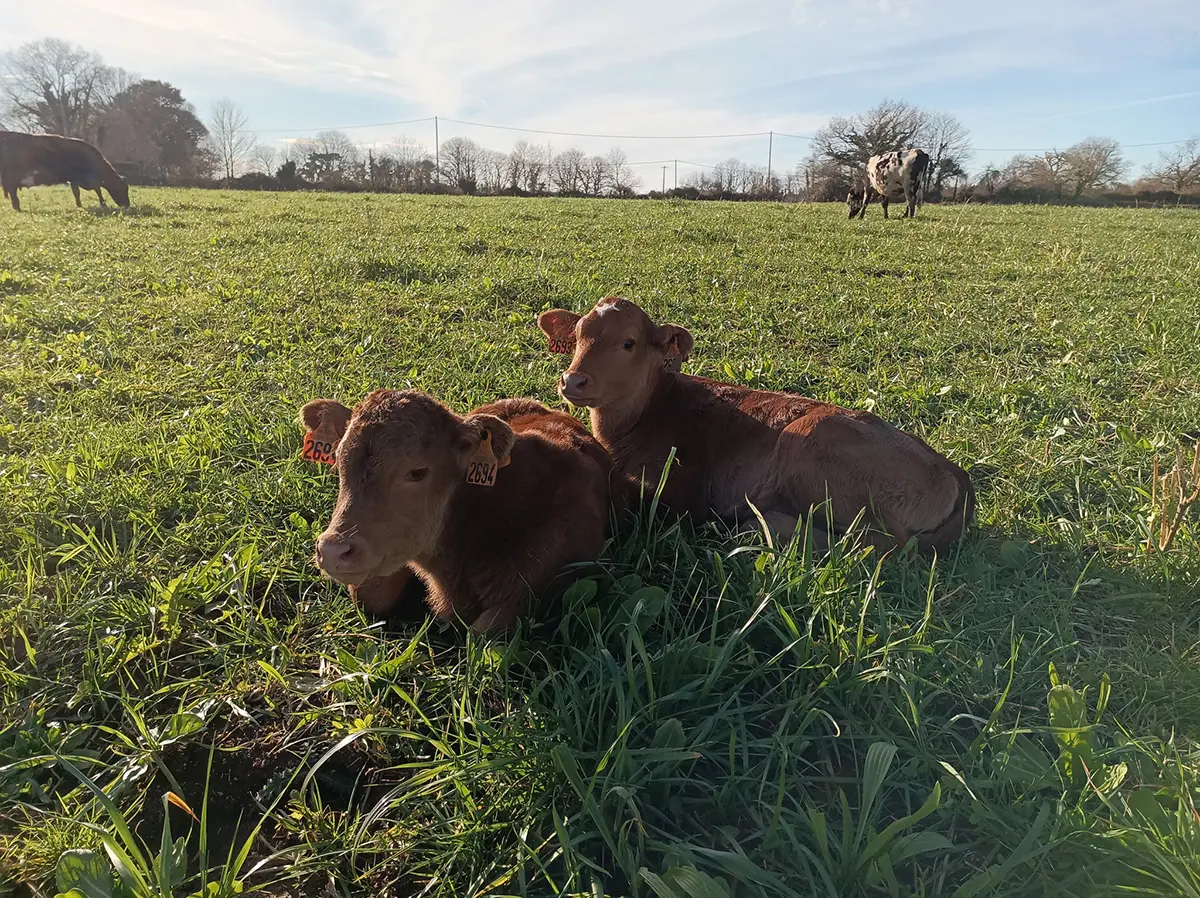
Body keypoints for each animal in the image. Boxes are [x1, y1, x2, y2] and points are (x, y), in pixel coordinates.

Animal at [0, 131, 130, 212]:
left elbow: (76, 192)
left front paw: (79, 206)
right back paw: (17, 208)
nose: (127, 205)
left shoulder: (74, 179)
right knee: (13, 193)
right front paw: (103, 204)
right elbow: (97, 190)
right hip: (11, 177)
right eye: (123, 188)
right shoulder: (89, 178)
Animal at [538, 297, 974, 554]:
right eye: (578, 336)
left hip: (809, 444)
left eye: (628, 343)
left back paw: (760, 525)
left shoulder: (682, 493)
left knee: (881, 544)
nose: (573, 381)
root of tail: (953, 470)